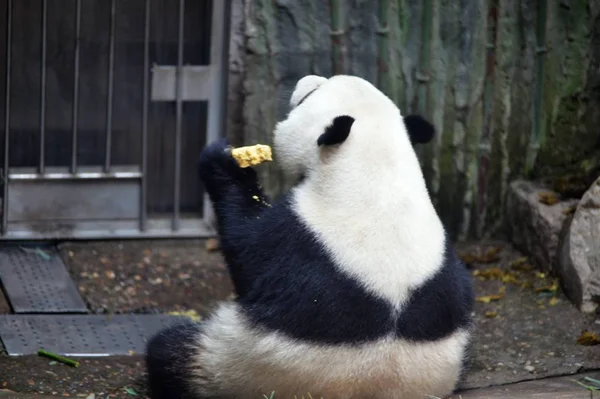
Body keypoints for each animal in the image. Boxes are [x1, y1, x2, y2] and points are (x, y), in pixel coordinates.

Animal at [144, 75, 474, 399]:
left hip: (231, 363)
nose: (307, 79)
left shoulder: (299, 239)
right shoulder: (449, 264)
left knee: (169, 352)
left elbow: (246, 245)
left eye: (309, 95)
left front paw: (224, 160)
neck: (378, 172)